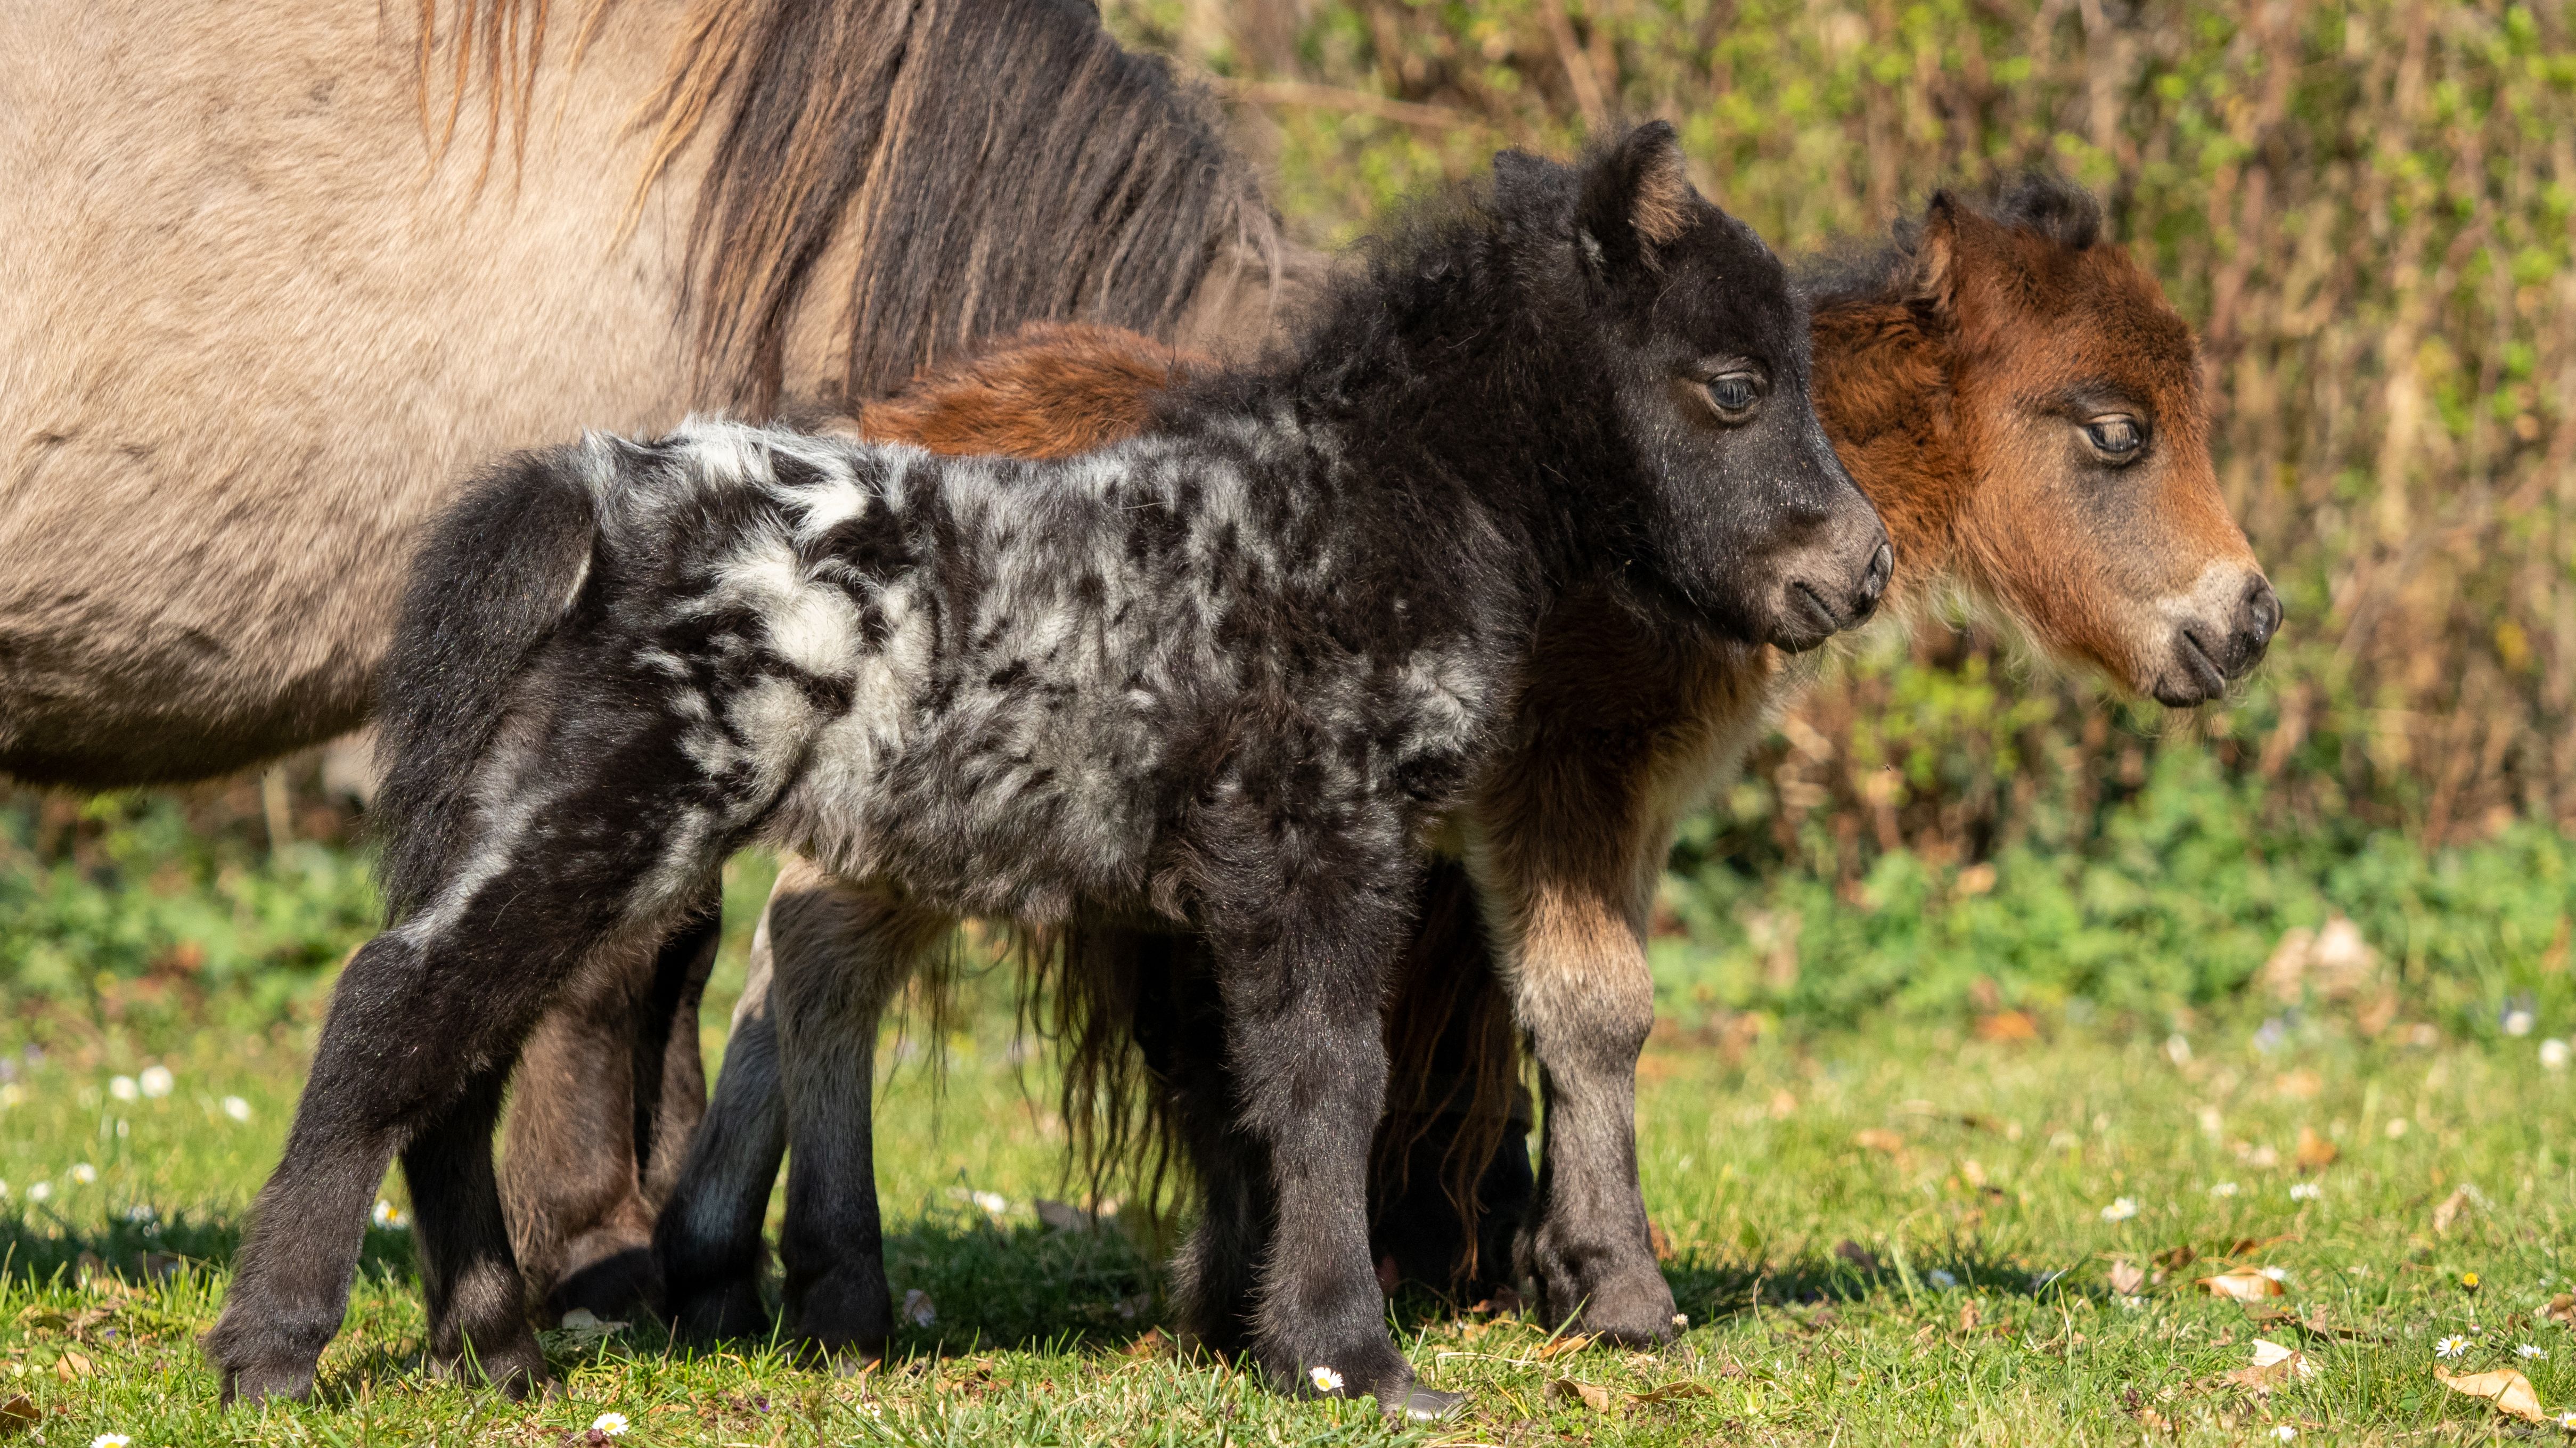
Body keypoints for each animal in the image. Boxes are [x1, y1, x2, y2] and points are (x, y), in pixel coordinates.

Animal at [206, 124, 1896, 1412]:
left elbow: (1248, 1085)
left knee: (462, 1040)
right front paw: (1355, 1358)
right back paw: (274, 1347)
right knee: (395, 1004)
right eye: (1732, 385)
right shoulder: (1316, 845)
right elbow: (1326, 1080)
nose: (1857, 571)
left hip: (562, 817)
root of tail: (603, 492)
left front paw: (1263, 1330)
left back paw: (492, 1345)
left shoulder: (1232, 886)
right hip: (618, 808)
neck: (1353, 511)